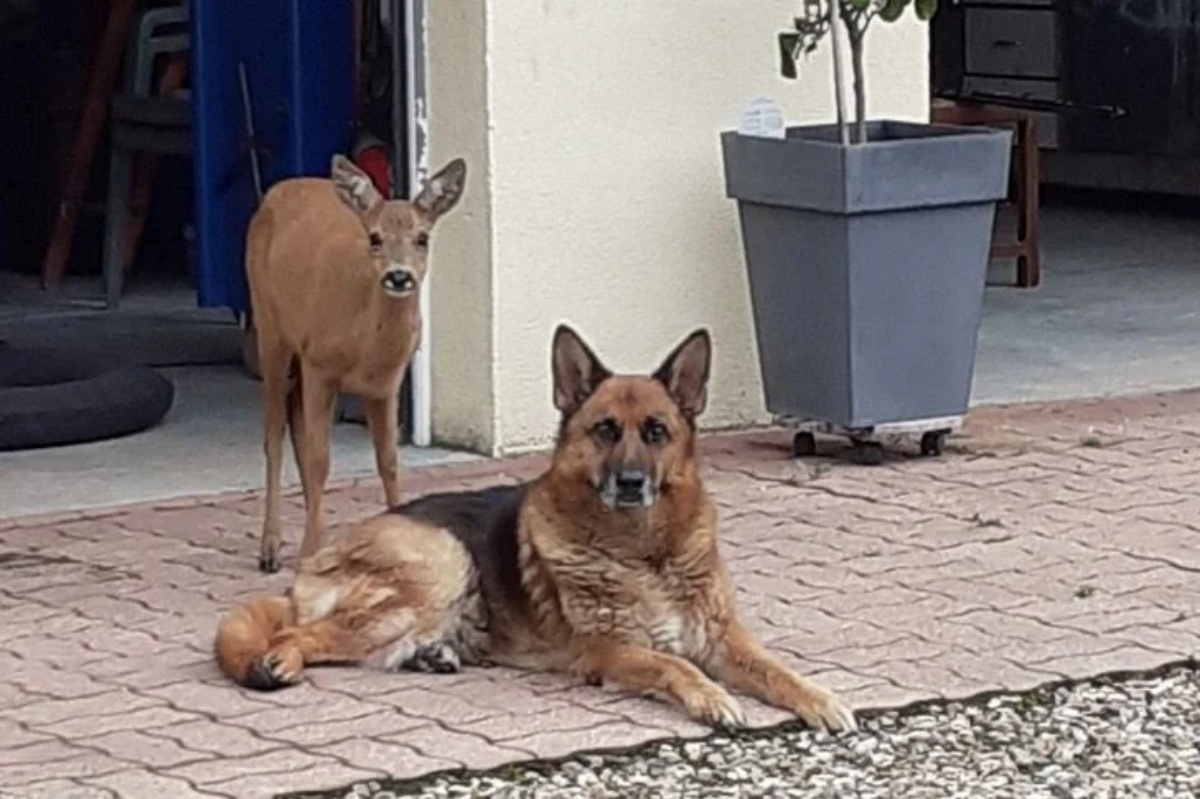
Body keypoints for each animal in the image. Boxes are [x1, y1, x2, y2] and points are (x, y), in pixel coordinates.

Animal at [213, 323, 854, 729]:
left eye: (656, 432)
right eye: (604, 430)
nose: (630, 483)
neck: (646, 553)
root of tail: (310, 569)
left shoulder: (725, 638)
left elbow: (777, 669)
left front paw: (818, 698)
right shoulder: (609, 650)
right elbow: (673, 664)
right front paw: (711, 697)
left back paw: (434, 655)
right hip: (443, 564)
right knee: (298, 635)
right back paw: (280, 661)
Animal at [244, 152, 468, 568]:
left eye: (422, 237)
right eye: (375, 237)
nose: (399, 276)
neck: (366, 346)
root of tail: (275, 191)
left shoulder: (387, 385)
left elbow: (388, 460)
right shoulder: (320, 364)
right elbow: (320, 460)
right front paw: (308, 552)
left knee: (296, 426)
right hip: (270, 327)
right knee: (275, 435)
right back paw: (271, 549)